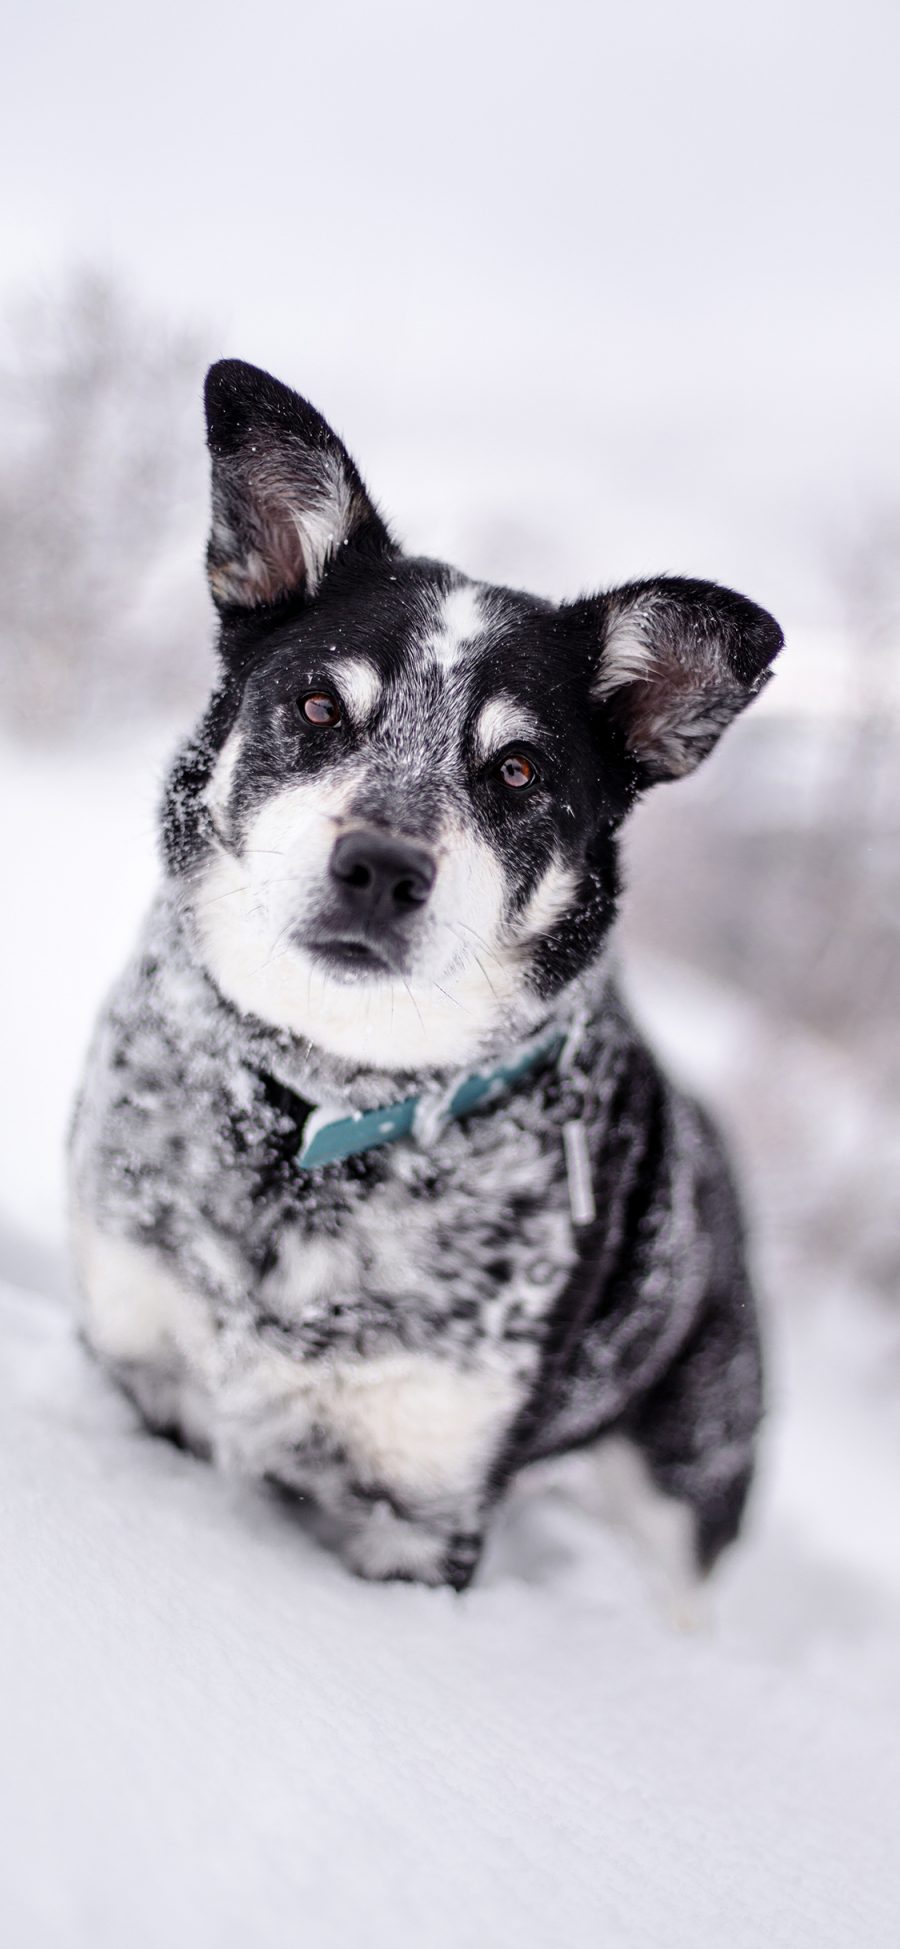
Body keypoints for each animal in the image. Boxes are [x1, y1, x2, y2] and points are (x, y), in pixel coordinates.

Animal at [68, 358, 779, 1590]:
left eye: (518, 768)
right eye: (318, 705)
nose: (382, 868)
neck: (322, 1108)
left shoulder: (420, 1515)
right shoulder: (135, 1362)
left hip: (684, 1488)